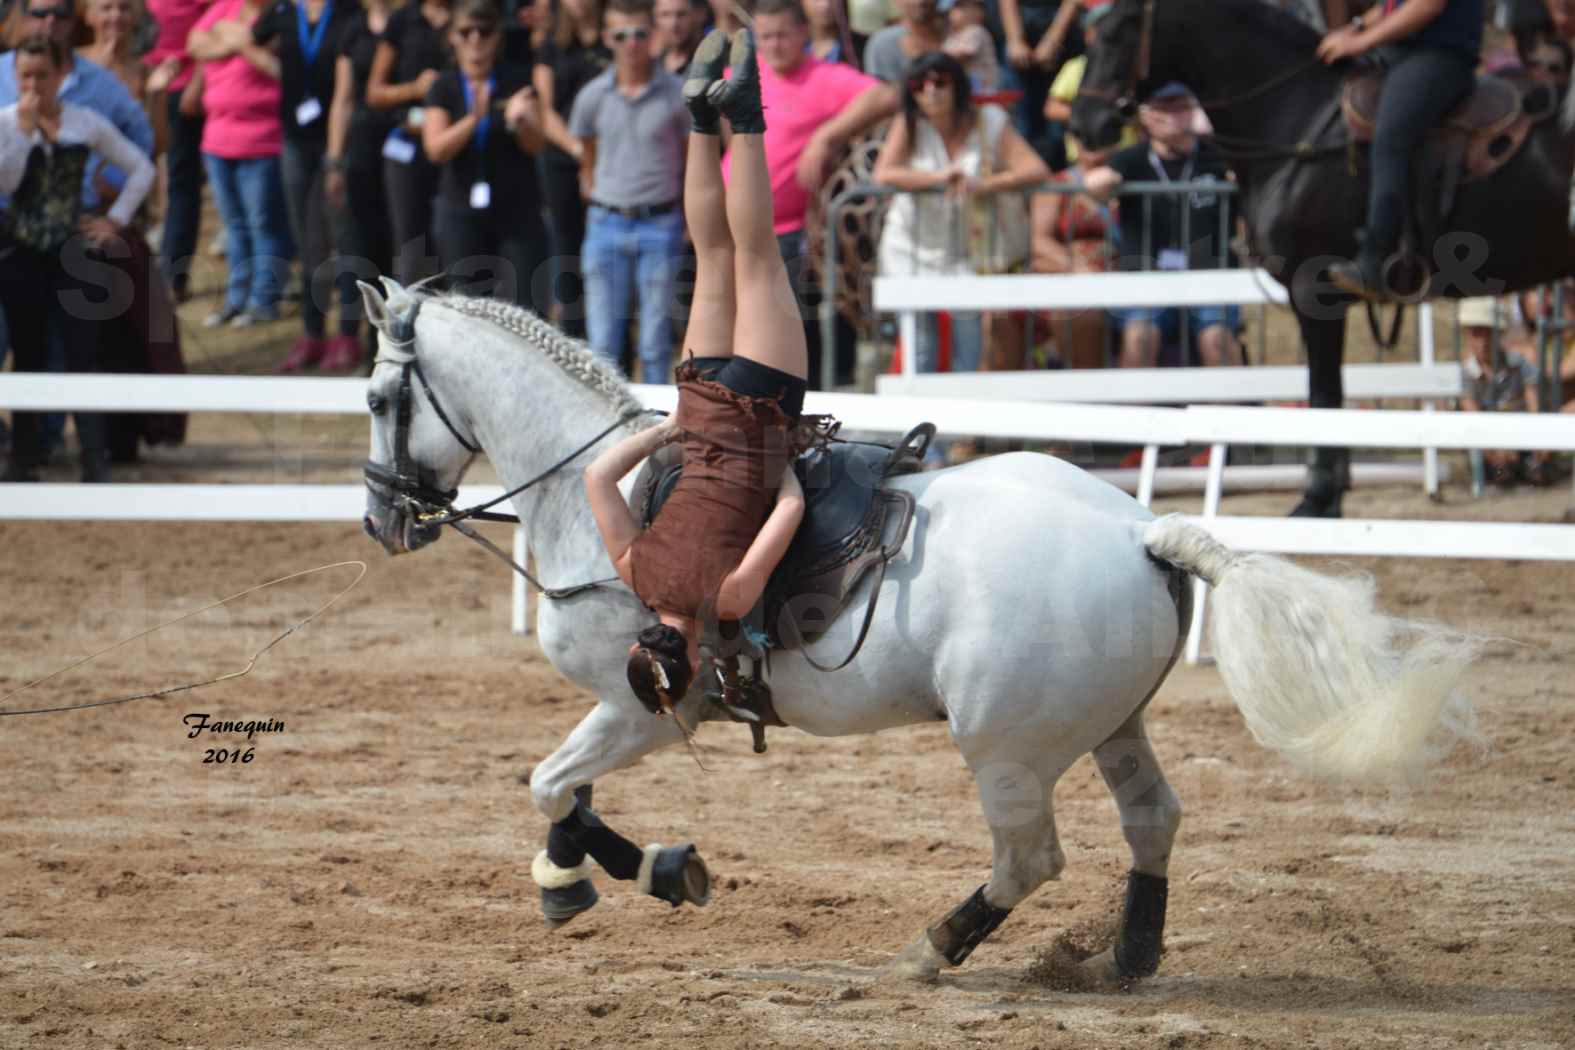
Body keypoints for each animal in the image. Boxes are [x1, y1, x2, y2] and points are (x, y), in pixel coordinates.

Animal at [357, 278, 1474, 988]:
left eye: (375, 396)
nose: (381, 518)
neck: (612, 501)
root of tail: (1138, 530)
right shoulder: (631, 709)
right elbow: (570, 792)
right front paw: (635, 870)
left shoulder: (645, 707)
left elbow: (552, 785)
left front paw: (598, 881)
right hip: (1112, 727)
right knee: (1151, 820)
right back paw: (1123, 959)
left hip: (1006, 750)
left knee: (1029, 860)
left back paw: (932, 950)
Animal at [1071, 0, 1575, 516]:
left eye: (1117, 31)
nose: (1084, 123)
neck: (1294, 116)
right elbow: (1329, 392)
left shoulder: (1314, 291)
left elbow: (1324, 393)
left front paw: (1318, 499)